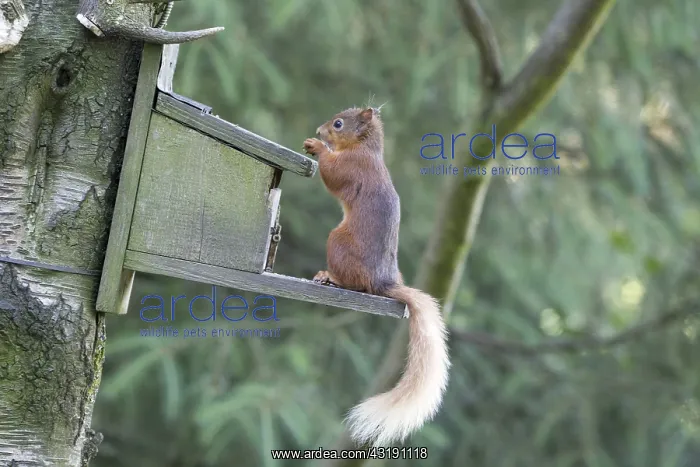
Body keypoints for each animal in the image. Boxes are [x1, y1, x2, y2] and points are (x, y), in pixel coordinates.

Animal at [303, 106, 450, 447]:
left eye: (338, 124)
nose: (319, 131)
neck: (364, 148)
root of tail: (384, 281)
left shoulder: (353, 166)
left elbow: (333, 173)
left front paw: (317, 148)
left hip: (337, 242)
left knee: (352, 282)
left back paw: (329, 277)